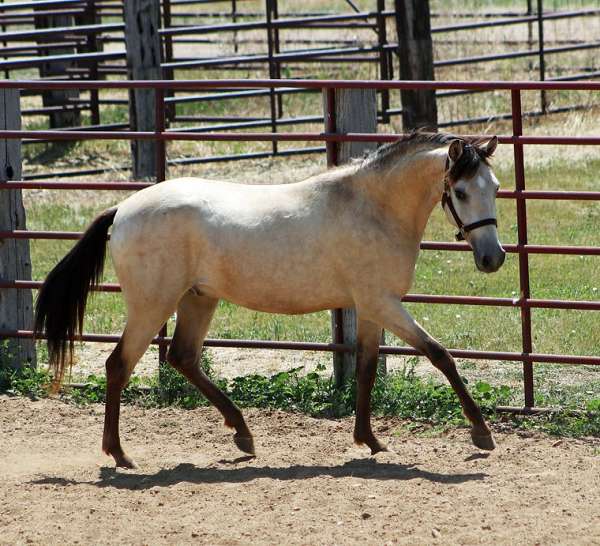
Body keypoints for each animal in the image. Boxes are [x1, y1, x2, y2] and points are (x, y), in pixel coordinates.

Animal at [35, 130, 504, 466]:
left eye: (496, 187)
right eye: (461, 192)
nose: (493, 258)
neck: (372, 208)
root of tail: (122, 210)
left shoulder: (372, 307)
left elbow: (367, 371)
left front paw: (370, 440)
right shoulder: (383, 304)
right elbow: (440, 355)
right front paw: (482, 434)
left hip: (197, 299)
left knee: (182, 357)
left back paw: (243, 434)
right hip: (153, 305)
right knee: (119, 365)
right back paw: (120, 454)